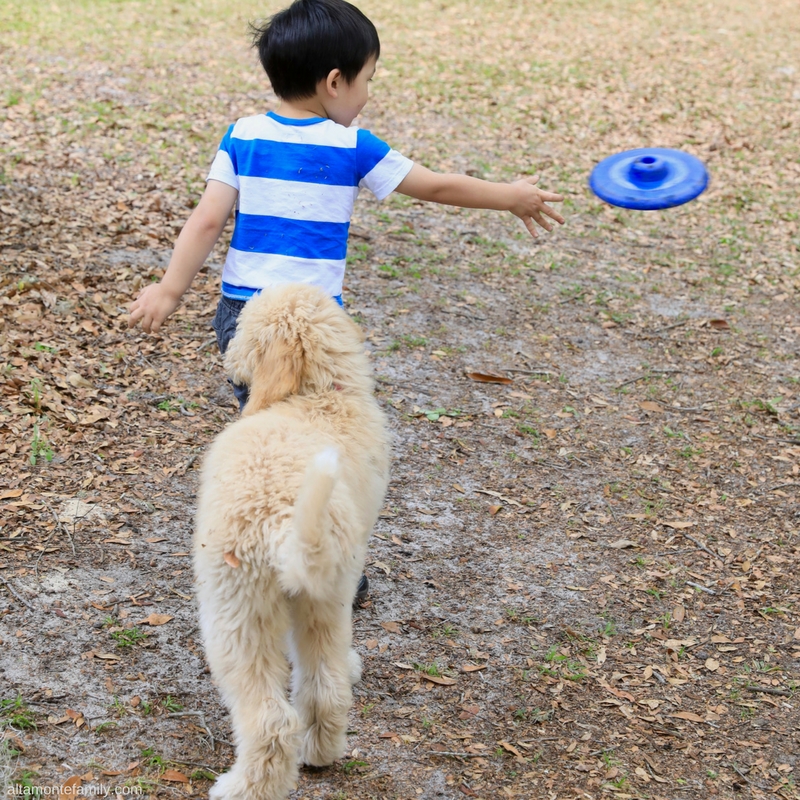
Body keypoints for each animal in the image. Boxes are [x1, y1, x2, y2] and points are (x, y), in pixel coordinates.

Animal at [195, 284, 392, 796]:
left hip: (237, 615)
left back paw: (240, 787)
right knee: (326, 688)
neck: (321, 395)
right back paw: (320, 752)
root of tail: (280, 520)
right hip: (325, 596)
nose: (229, 362)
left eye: (245, 331)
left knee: (271, 720)